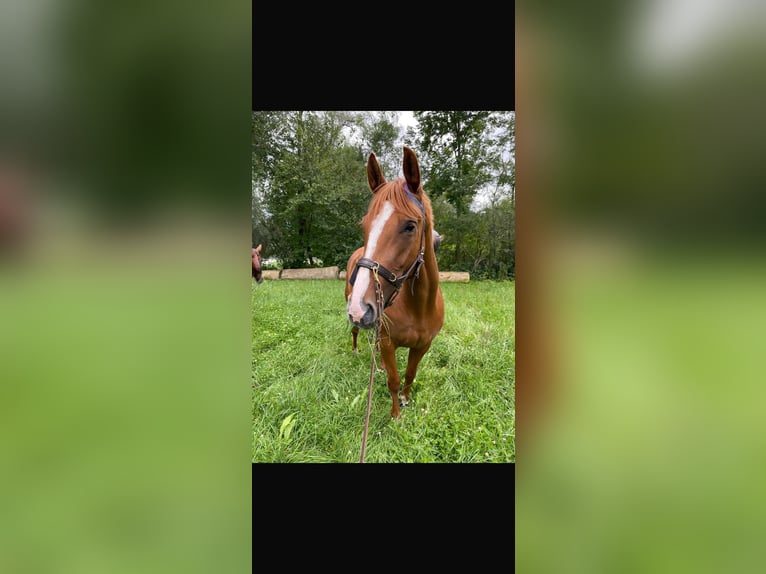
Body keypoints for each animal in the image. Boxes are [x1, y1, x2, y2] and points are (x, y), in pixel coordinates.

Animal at [345, 147, 444, 419]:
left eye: (410, 226)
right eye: (364, 225)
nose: (360, 308)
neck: (419, 307)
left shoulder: (423, 346)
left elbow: (409, 375)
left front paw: (406, 400)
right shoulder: (390, 343)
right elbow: (394, 380)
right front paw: (396, 415)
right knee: (356, 333)